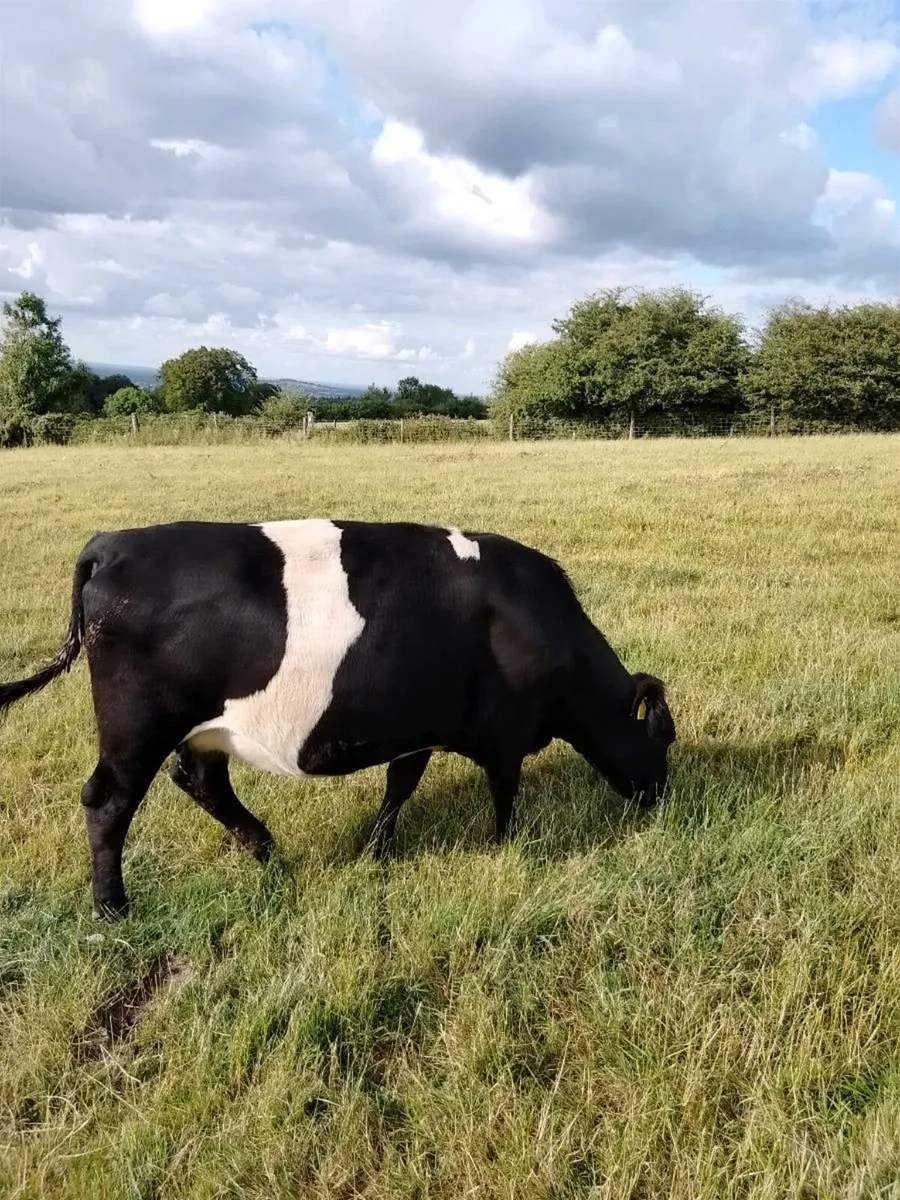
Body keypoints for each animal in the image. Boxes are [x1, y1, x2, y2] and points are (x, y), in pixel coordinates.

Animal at [0, 519, 676, 920]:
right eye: (662, 737)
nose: (662, 797)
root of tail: (112, 544)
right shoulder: (506, 733)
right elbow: (503, 793)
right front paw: (506, 845)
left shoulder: (416, 726)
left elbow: (400, 785)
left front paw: (378, 851)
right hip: (136, 726)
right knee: (108, 801)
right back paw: (112, 906)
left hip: (199, 728)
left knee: (201, 781)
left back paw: (267, 851)